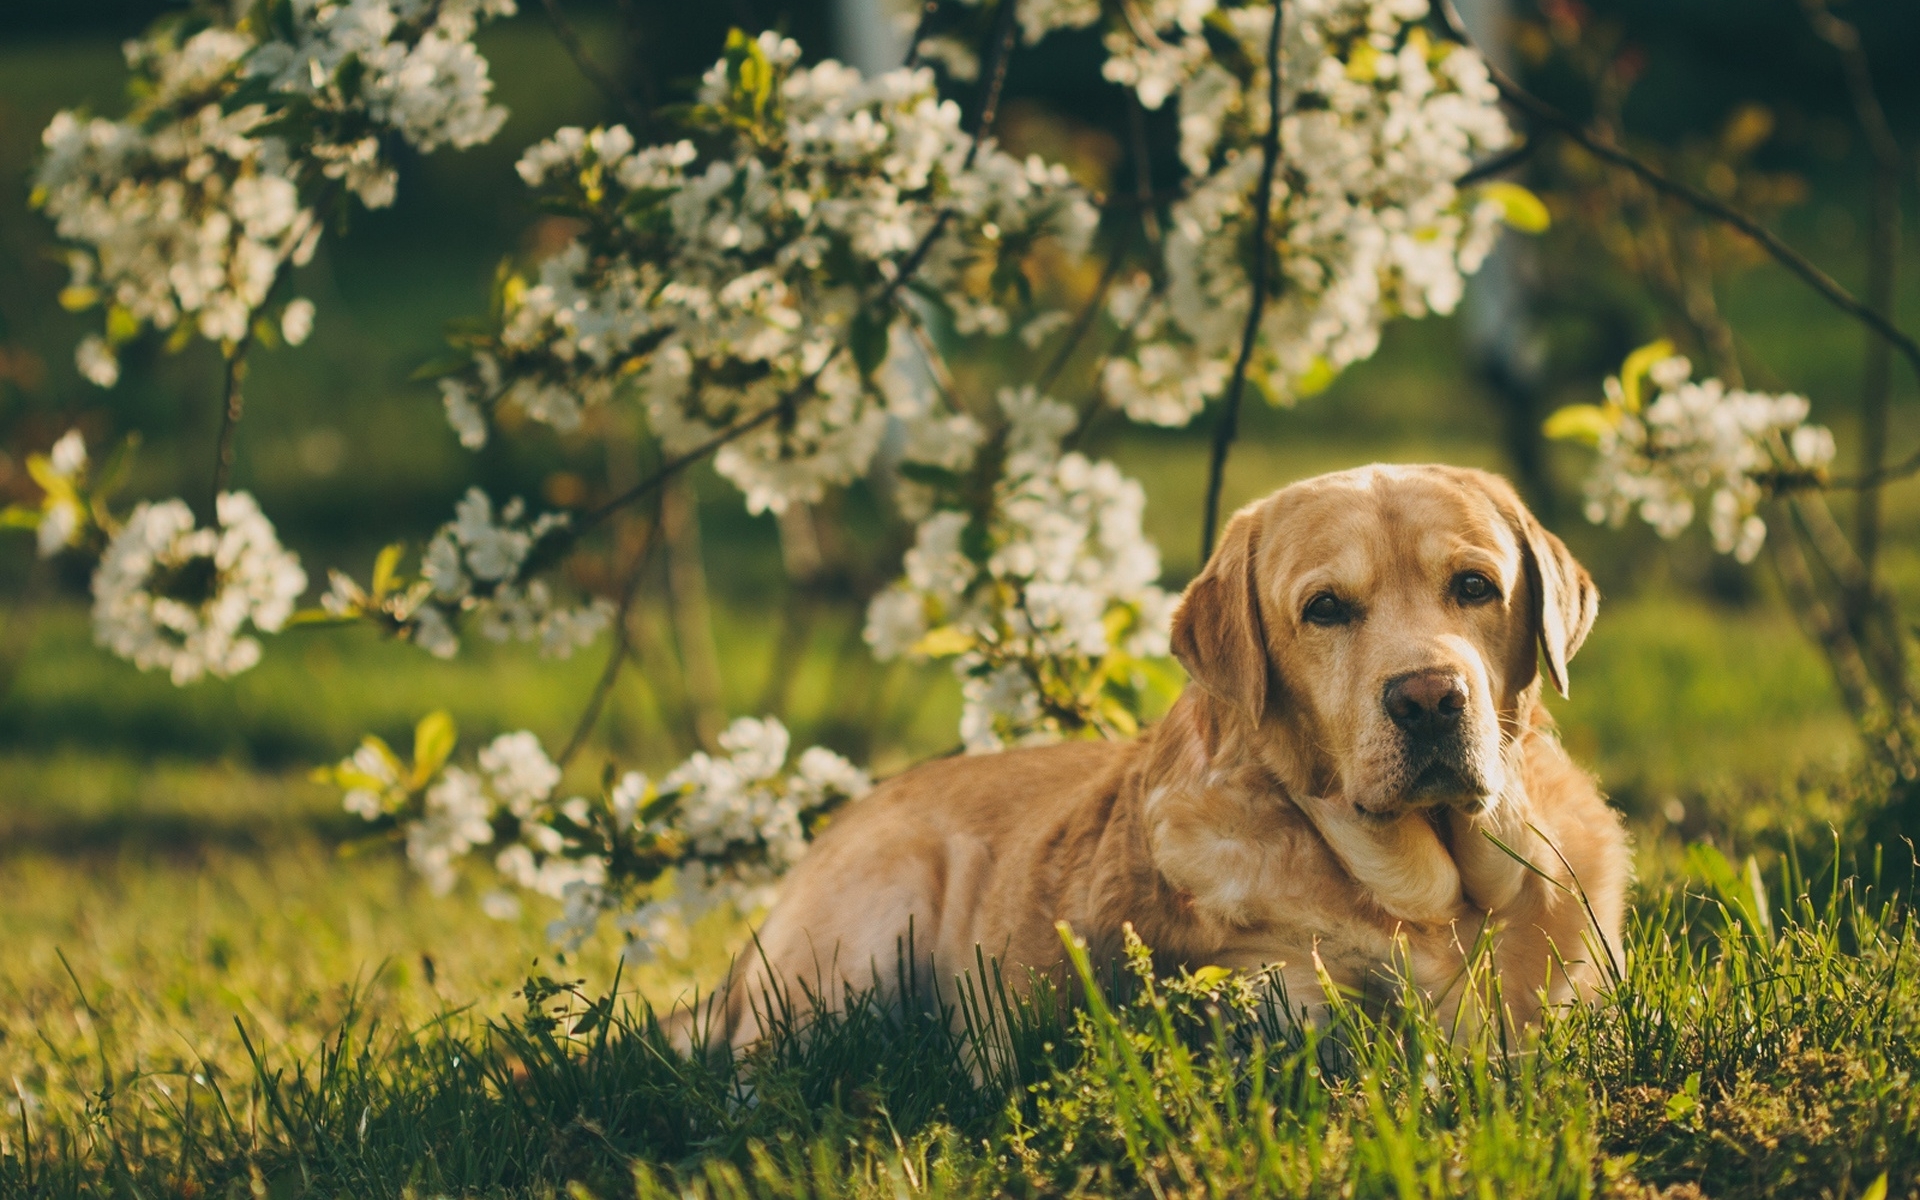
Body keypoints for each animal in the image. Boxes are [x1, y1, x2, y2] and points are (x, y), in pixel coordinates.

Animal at [718, 460, 1620, 1036]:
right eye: (1325, 608)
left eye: (1474, 587)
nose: (1429, 698)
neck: (1445, 910)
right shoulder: (1269, 989)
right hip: (868, 928)